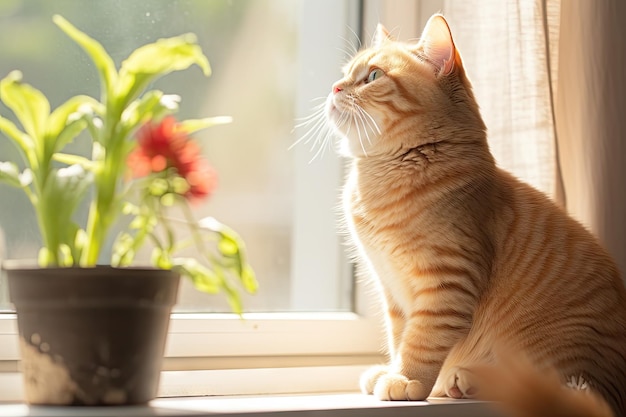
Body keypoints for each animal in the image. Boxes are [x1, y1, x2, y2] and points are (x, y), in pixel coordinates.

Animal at [308, 13, 624, 416]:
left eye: (374, 76)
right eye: (346, 74)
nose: (334, 88)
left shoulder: (447, 280)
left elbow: (422, 340)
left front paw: (405, 380)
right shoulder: (392, 291)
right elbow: (399, 337)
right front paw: (392, 369)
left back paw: (464, 379)